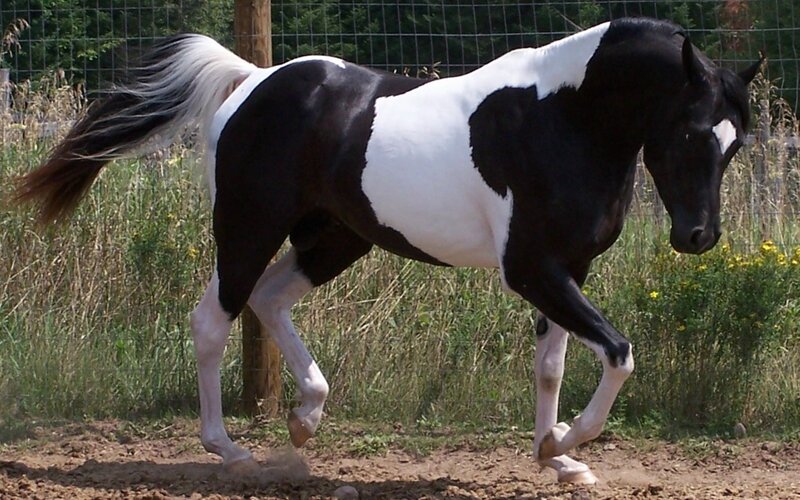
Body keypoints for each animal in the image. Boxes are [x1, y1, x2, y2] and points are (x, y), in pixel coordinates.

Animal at [15, 18, 759, 484]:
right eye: (692, 131)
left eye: (735, 142)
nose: (697, 238)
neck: (562, 119)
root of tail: (251, 81)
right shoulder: (532, 270)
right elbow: (619, 352)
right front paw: (570, 442)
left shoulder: (565, 269)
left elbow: (551, 366)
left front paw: (555, 455)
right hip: (248, 229)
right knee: (213, 319)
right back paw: (230, 450)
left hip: (335, 238)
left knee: (269, 300)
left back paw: (305, 420)